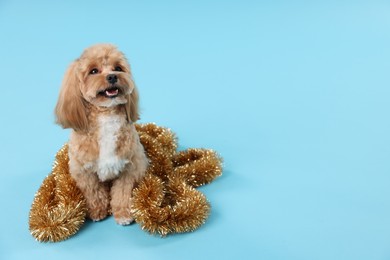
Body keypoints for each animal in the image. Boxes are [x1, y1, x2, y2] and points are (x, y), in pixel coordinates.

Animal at [54, 43, 147, 224]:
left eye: (118, 68)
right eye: (94, 71)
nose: (112, 77)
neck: (106, 115)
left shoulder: (129, 167)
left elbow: (122, 193)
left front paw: (123, 213)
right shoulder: (84, 171)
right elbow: (94, 192)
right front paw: (97, 211)